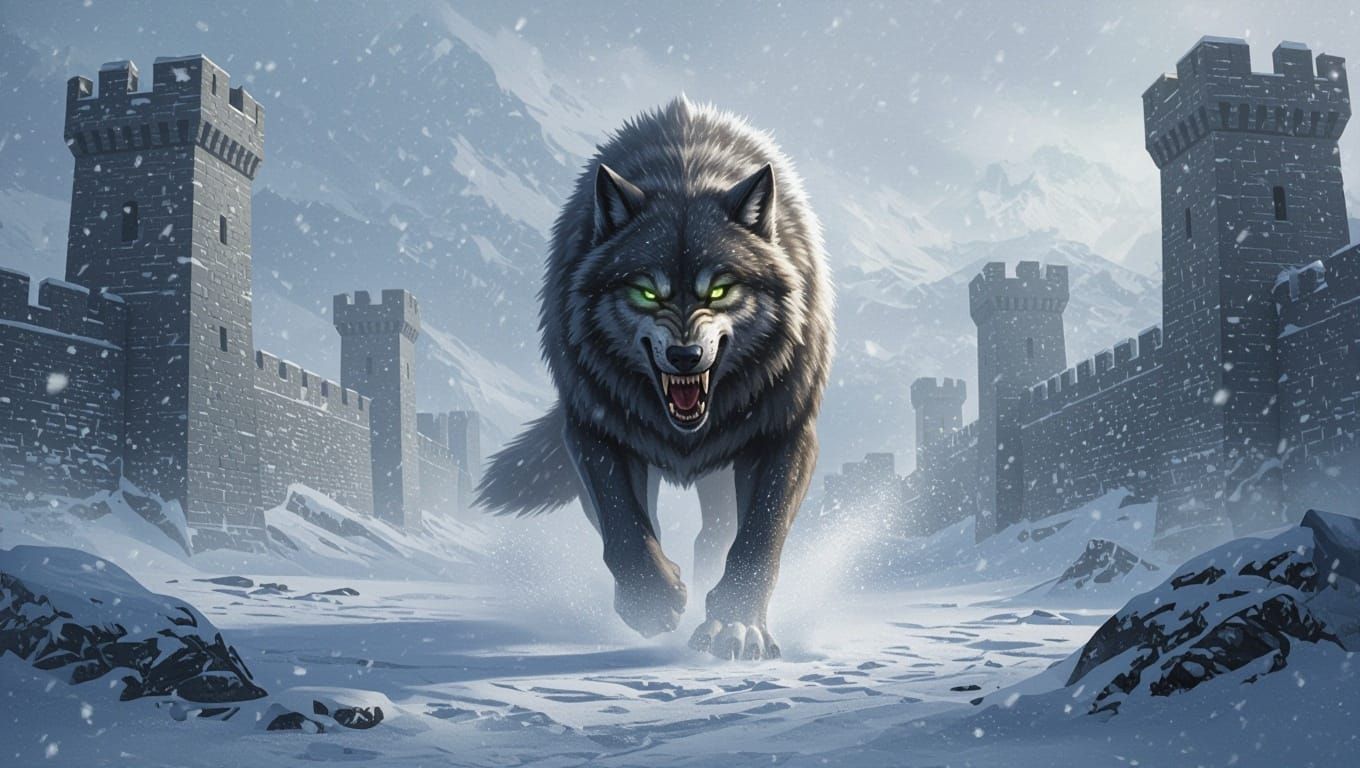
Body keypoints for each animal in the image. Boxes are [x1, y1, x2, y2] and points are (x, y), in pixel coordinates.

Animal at [477, 97, 833, 660]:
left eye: (719, 290)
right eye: (646, 292)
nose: (686, 355)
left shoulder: (787, 429)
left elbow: (760, 535)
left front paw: (736, 626)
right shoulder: (592, 424)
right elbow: (623, 524)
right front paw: (653, 601)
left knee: (716, 533)